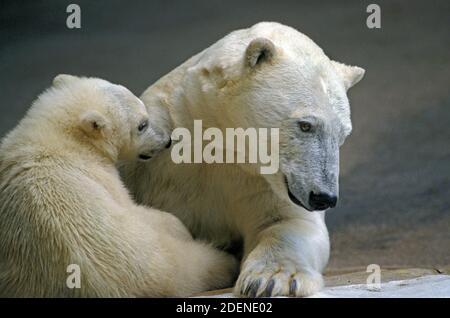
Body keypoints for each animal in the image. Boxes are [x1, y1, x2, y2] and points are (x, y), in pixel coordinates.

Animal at [0, 75, 239, 298]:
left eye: (146, 114)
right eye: (142, 125)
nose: (167, 140)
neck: (60, 137)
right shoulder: (100, 174)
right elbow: (134, 208)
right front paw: (180, 226)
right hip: (153, 257)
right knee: (193, 264)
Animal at [120, 21, 366, 296]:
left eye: (343, 134)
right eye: (305, 125)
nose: (325, 197)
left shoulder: (259, 183)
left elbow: (288, 222)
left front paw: (271, 279)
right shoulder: (153, 156)